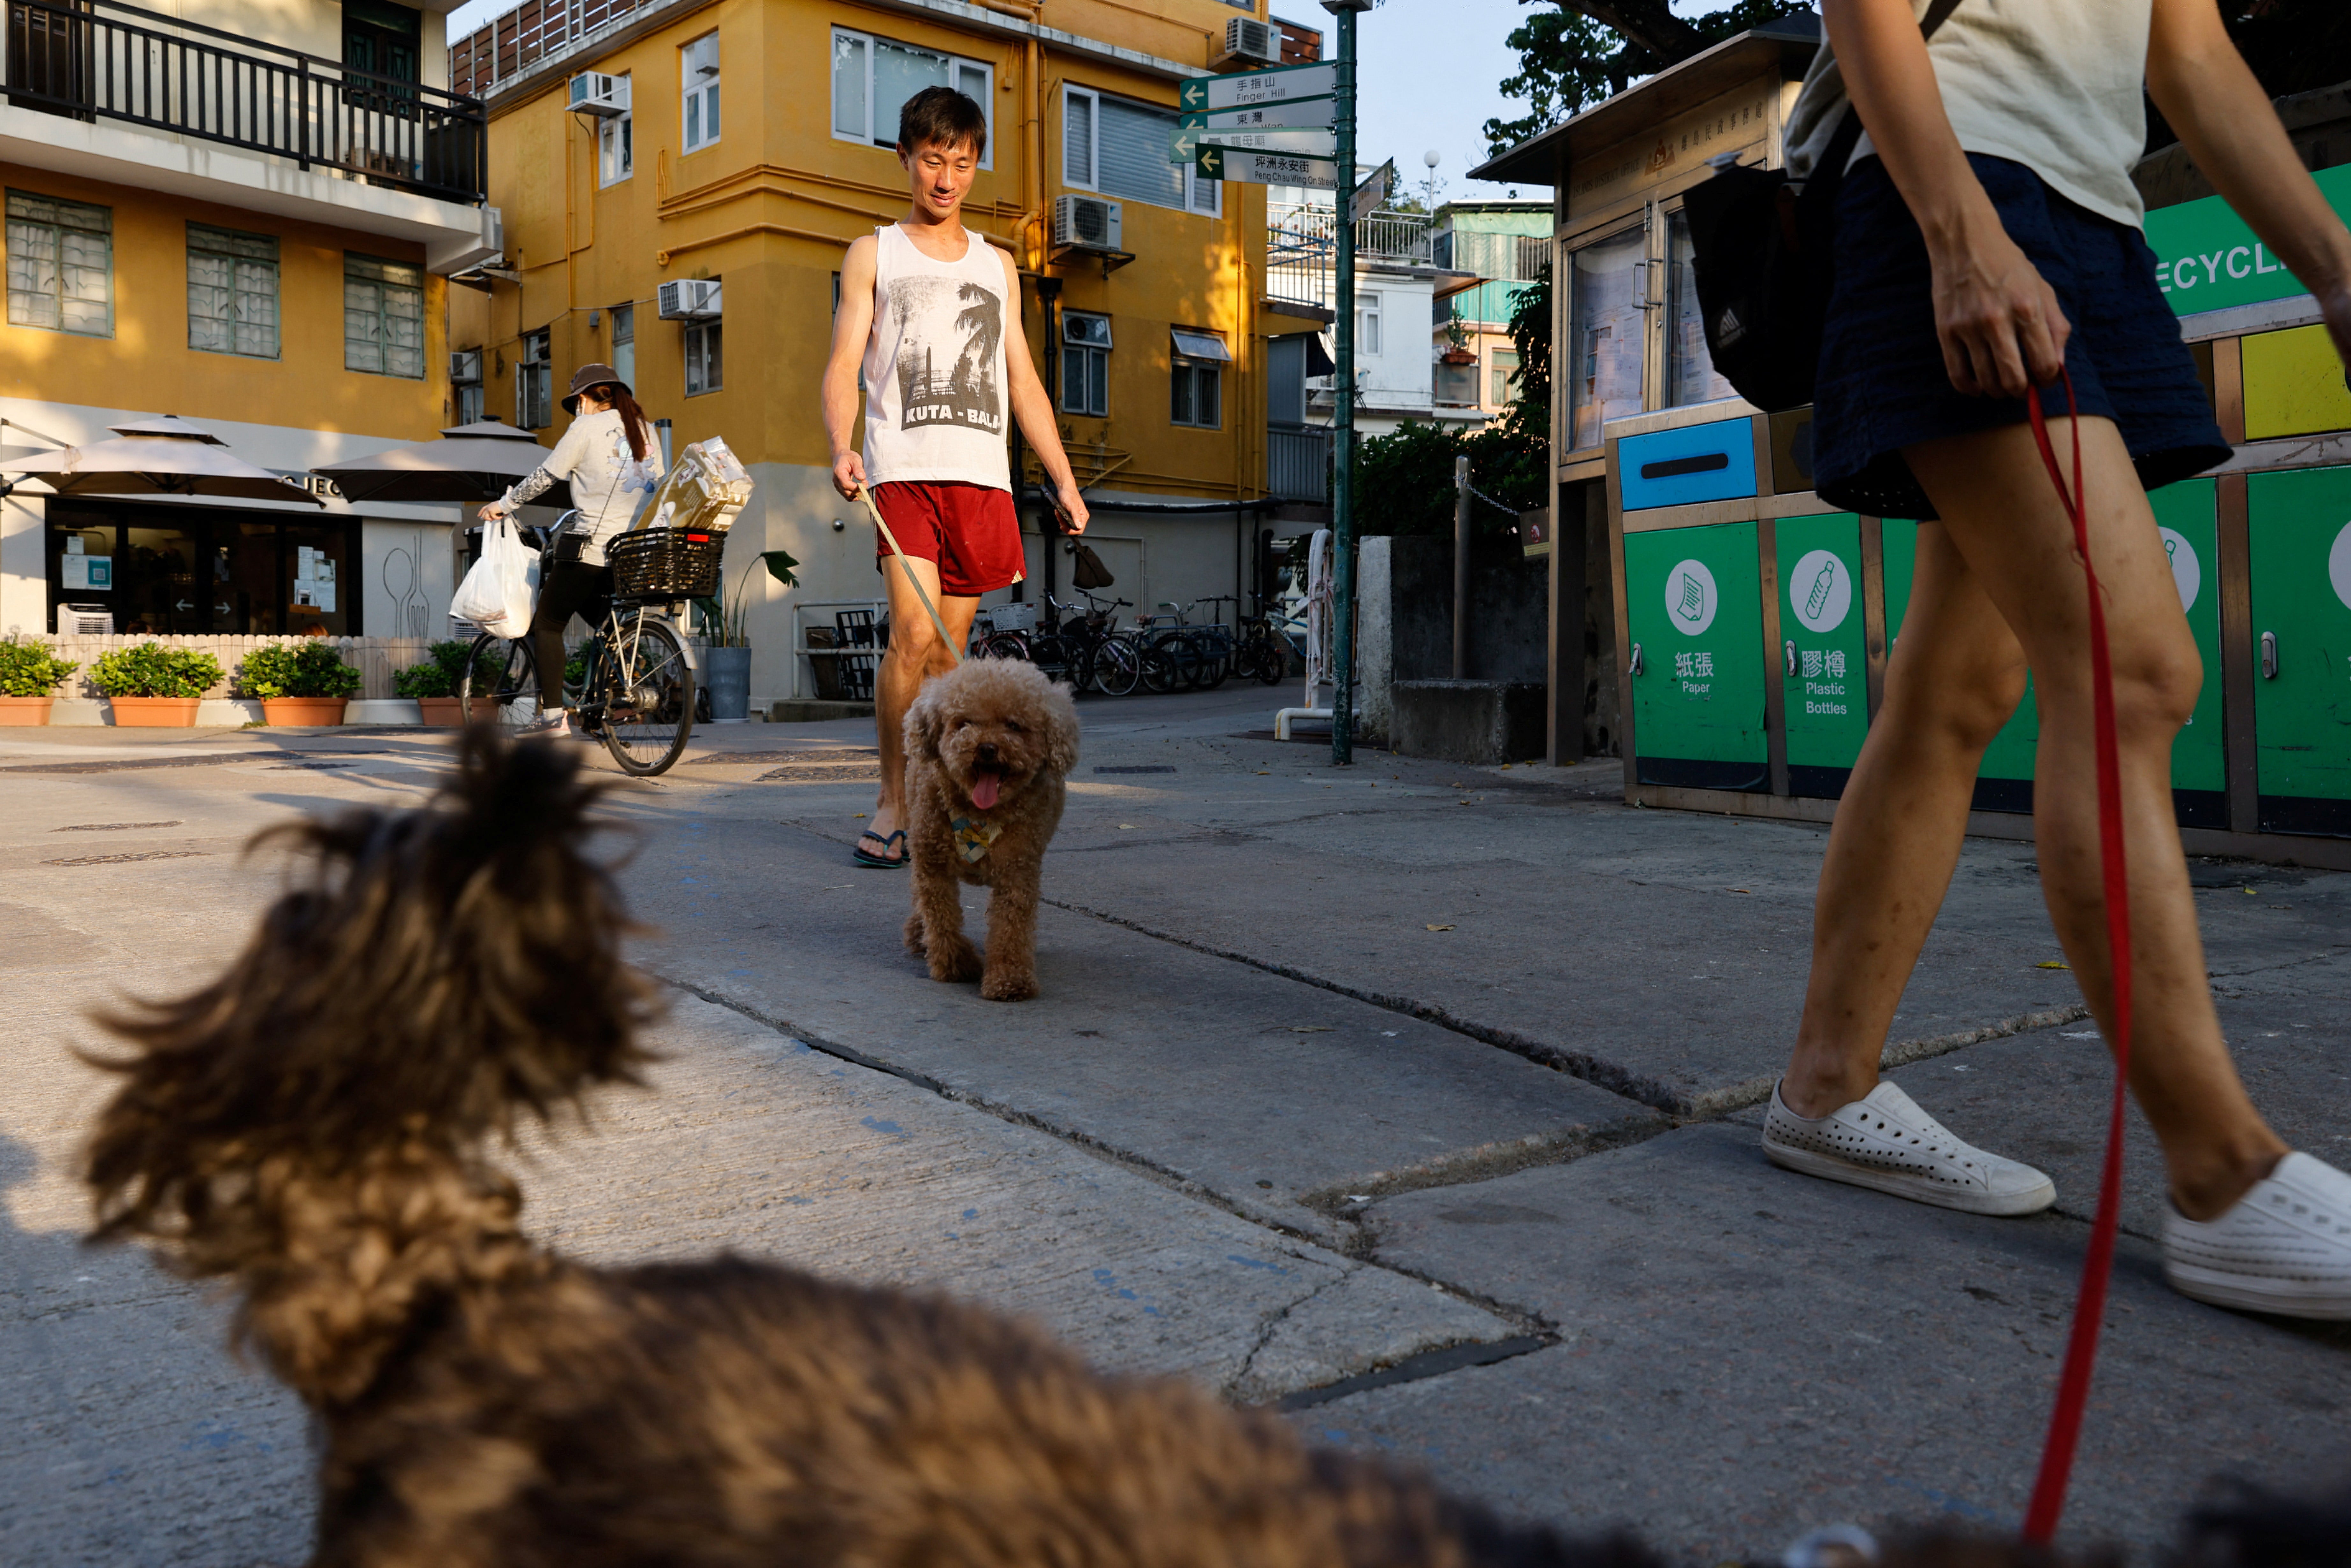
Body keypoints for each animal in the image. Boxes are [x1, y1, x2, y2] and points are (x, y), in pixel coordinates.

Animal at [898, 653, 1081, 1001]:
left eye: (1014, 726)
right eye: (964, 723)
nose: (986, 748)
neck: (979, 817)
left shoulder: (1017, 872)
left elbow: (1011, 927)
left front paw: (1009, 980)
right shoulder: (933, 865)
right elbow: (941, 918)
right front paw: (956, 965)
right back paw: (918, 934)